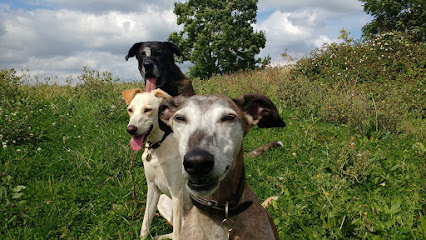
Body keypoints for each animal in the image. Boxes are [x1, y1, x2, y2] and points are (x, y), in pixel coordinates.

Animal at [121, 89, 191, 239]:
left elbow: (177, 234)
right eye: (130, 110)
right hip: (163, 200)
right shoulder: (153, 187)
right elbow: (145, 225)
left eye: (148, 110)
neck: (157, 146)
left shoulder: (176, 193)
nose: (131, 129)